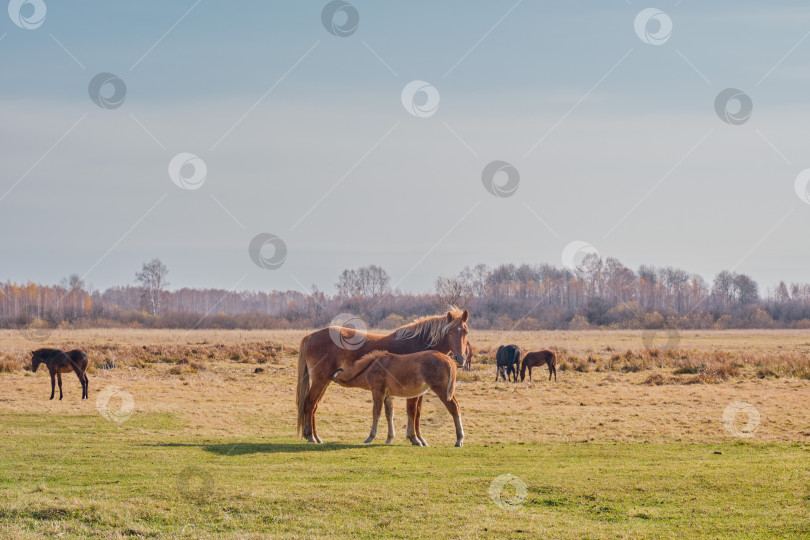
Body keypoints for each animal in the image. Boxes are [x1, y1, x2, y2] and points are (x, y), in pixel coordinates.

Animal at [296, 308, 468, 442]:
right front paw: (414, 438)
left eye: (465, 332)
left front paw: (419, 438)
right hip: (320, 380)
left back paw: (316, 437)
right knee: (310, 403)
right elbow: (412, 411)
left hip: (324, 382)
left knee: (314, 406)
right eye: (450, 332)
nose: (460, 358)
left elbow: (416, 412)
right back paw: (310, 436)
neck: (419, 343)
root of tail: (311, 336)